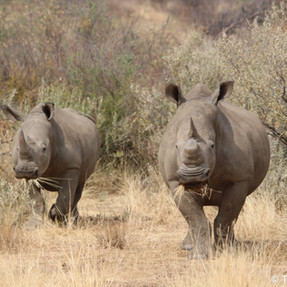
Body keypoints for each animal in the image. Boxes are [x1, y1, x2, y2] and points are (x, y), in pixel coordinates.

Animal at [159, 81, 272, 260]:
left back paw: (234, 245)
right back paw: (187, 247)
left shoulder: (239, 180)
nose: (192, 177)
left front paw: (227, 252)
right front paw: (198, 256)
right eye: (176, 146)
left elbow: (226, 216)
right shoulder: (175, 181)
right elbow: (195, 218)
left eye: (212, 146)